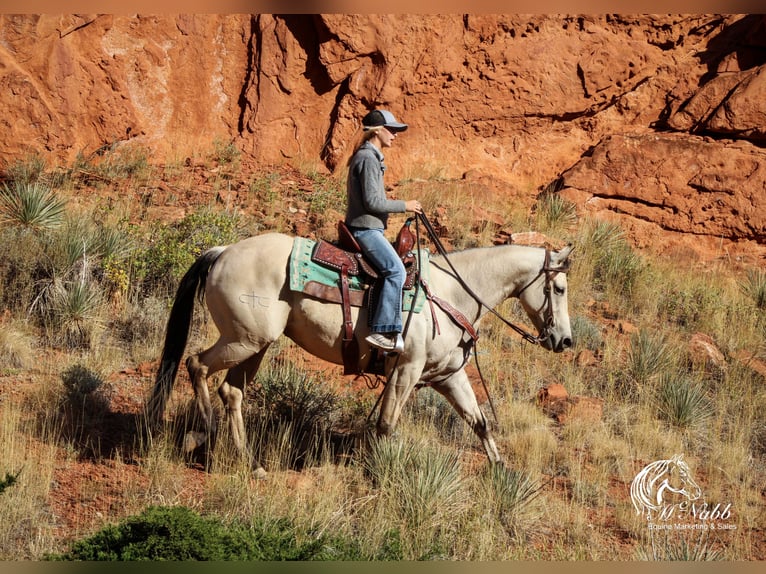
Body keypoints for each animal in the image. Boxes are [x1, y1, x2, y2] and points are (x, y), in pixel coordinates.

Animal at [147, 218, 572, 480]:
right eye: (560, 288)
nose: (565, 340)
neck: (453, 292)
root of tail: (222, 251)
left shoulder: (447, 375)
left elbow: (478, 421)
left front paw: (502, 472)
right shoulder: (406, 370)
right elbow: (386, 425)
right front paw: (379, 470)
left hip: (256, 344)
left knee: (231, 391)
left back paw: (251, 463)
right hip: (243, 340)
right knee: (197, 365)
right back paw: (205, 436)